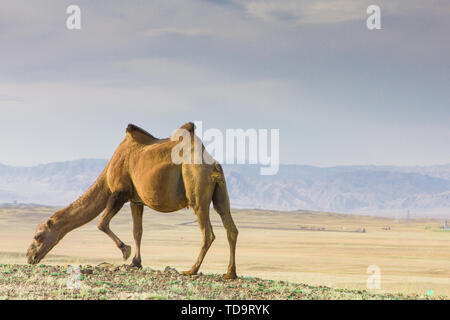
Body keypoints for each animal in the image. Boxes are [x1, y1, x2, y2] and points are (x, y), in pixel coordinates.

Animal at [26, 122, 239, 278]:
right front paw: (136, 262)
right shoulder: (136, 200)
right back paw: (230, 273)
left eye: (38, 236)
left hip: (196, 187)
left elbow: (101, 223)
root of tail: (212, 163)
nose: (29, 256)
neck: (107, 175)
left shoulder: (119, 193)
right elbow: (138, 231)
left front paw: (125, 251)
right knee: (231, 227)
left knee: (208, 233)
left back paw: (191, 270)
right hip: (220, 191)